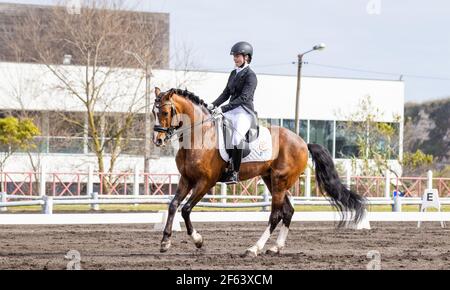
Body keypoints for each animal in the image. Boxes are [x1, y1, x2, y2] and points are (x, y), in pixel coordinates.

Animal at [151, 87, 366, 258]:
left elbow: (186, 209)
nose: (158, 141)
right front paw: (165, 242)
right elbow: (173, 205)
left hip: (280, 181)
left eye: (165, 112)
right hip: (271, 180)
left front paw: (198, 240)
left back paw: (254, 249)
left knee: (275, 215)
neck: (200, 135)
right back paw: (275, 248)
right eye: (154, 112)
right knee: (288, 211)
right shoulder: (186, 179)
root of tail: (303, 142)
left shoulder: (206, 182)